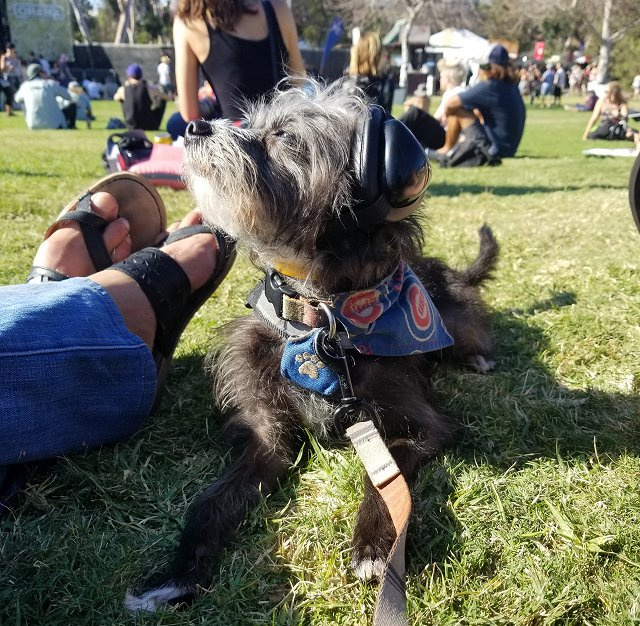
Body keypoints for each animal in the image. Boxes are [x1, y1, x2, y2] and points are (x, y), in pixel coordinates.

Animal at [126, 81, 500, 608]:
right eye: (250, 123)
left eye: (285, 137)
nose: (196, 125)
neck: (321, 322)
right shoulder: (267, 438)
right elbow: (210, 502)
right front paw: (175, 574)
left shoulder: (424, 429)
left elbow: (384, 482)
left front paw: (372, 546)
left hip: (453, 318)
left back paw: (479, 356)